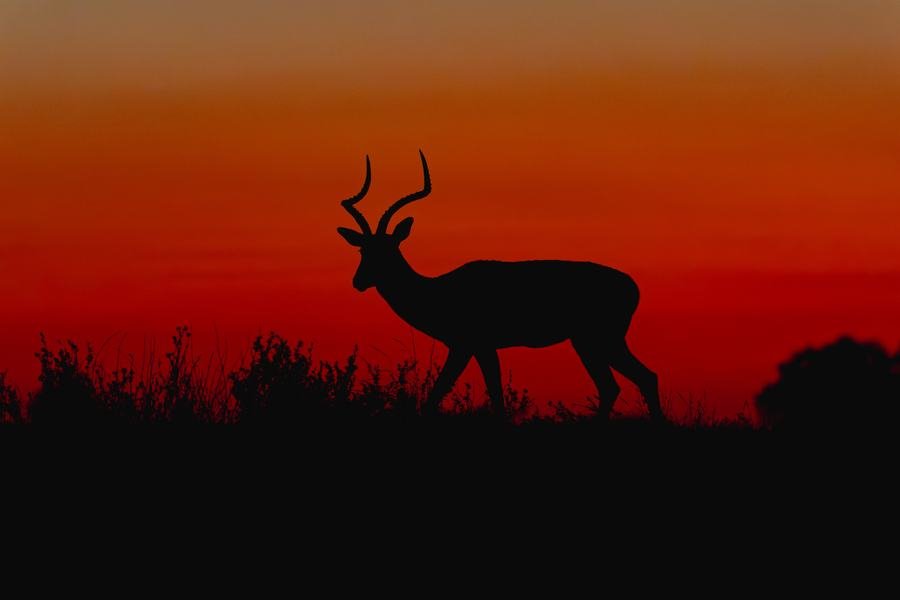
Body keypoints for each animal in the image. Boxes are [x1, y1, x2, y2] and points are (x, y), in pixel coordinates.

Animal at [337, 151, 663, 420]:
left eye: (388, 250)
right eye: (363, 249)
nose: (359, 281)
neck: (438, 291)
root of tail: (632, 286)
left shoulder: (470, 345)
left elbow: (454, 392)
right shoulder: (476, 347)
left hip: (597, 340)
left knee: (629, 381)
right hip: (594, 342)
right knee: (630, 381)